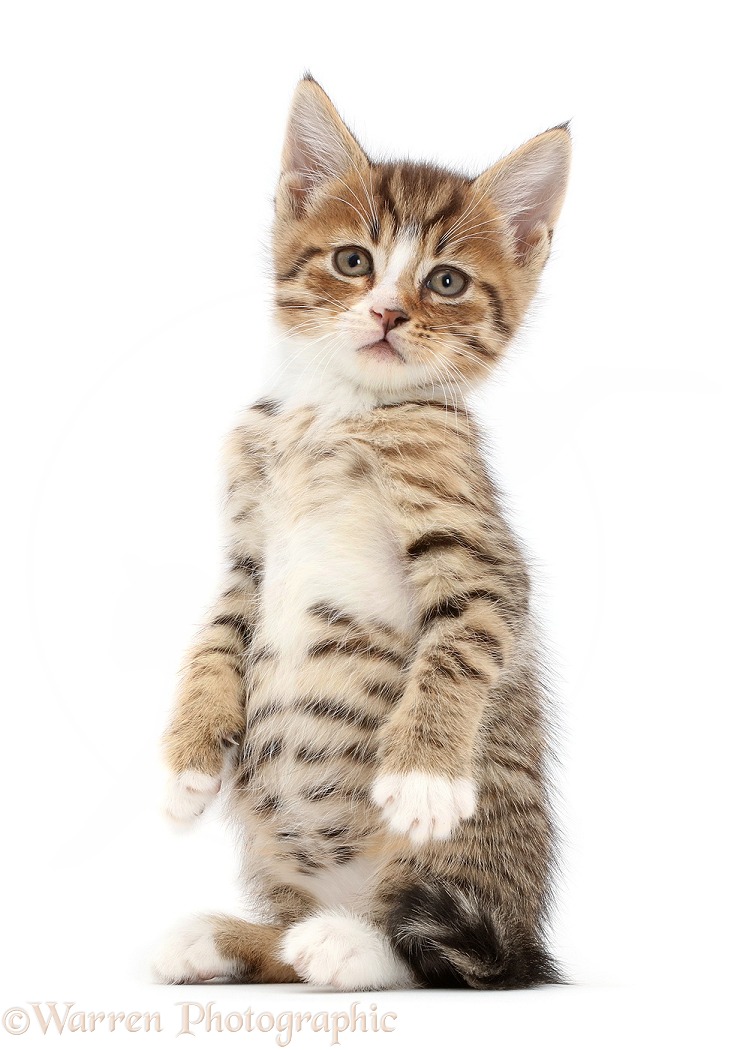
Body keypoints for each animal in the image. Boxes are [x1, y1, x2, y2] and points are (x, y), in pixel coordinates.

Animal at [153, 76, 571, 991]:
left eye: (445, 281)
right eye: (354, 262)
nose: (385, 313)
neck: (335, 410)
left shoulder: (476, 549)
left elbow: (460, 647)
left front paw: (419, 773)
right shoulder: (245, 549)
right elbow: (212, 641)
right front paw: (188, 757)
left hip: (459, 877)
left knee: (429, 949)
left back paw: (350, 943)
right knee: (297, 939)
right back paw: (229, 938)